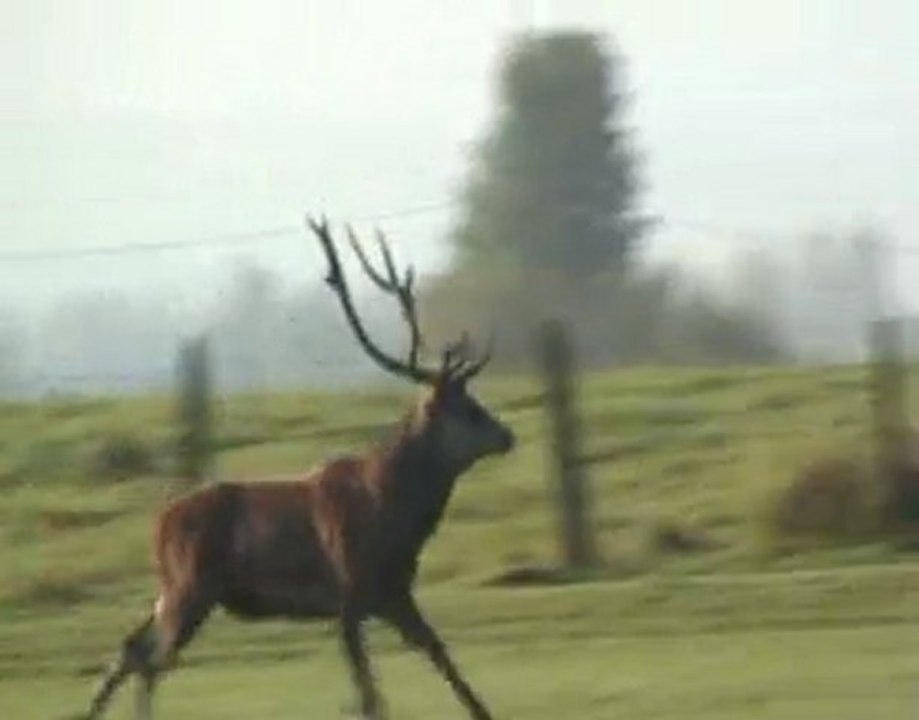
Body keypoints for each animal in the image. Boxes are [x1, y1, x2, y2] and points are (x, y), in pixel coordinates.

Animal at [77, 216, 515, 720]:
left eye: (476, 402)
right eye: (466, 410)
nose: (507, 436)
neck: (396, 518)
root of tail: (157, 523)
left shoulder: (395, 592)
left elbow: (439, 654)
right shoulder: (349, 595)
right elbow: (369, 695)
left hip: (171, 590)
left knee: (130, 647)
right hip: (191, 587)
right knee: (150, 661)